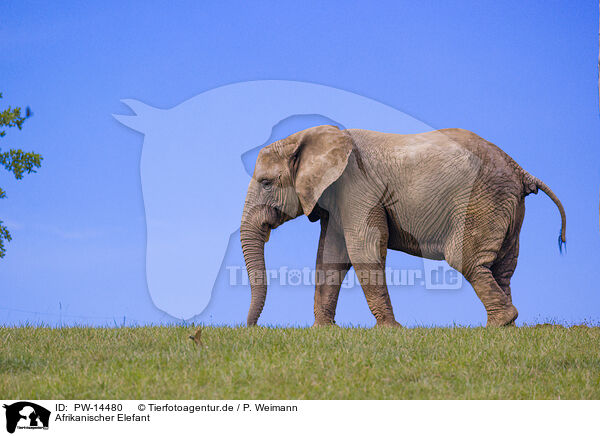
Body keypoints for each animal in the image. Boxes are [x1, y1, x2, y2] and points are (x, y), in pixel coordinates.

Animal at [237, 124, 564, 326]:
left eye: (266, 183)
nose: (252, 328)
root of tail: (520, 170)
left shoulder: (358, 187)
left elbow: (363, 249)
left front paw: (389, 330)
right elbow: (331, 256)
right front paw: (323, 331)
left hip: (480, 199)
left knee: (467, 260)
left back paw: (497, 324)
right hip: (506, 205)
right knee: (503, 267)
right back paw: (508, 326)